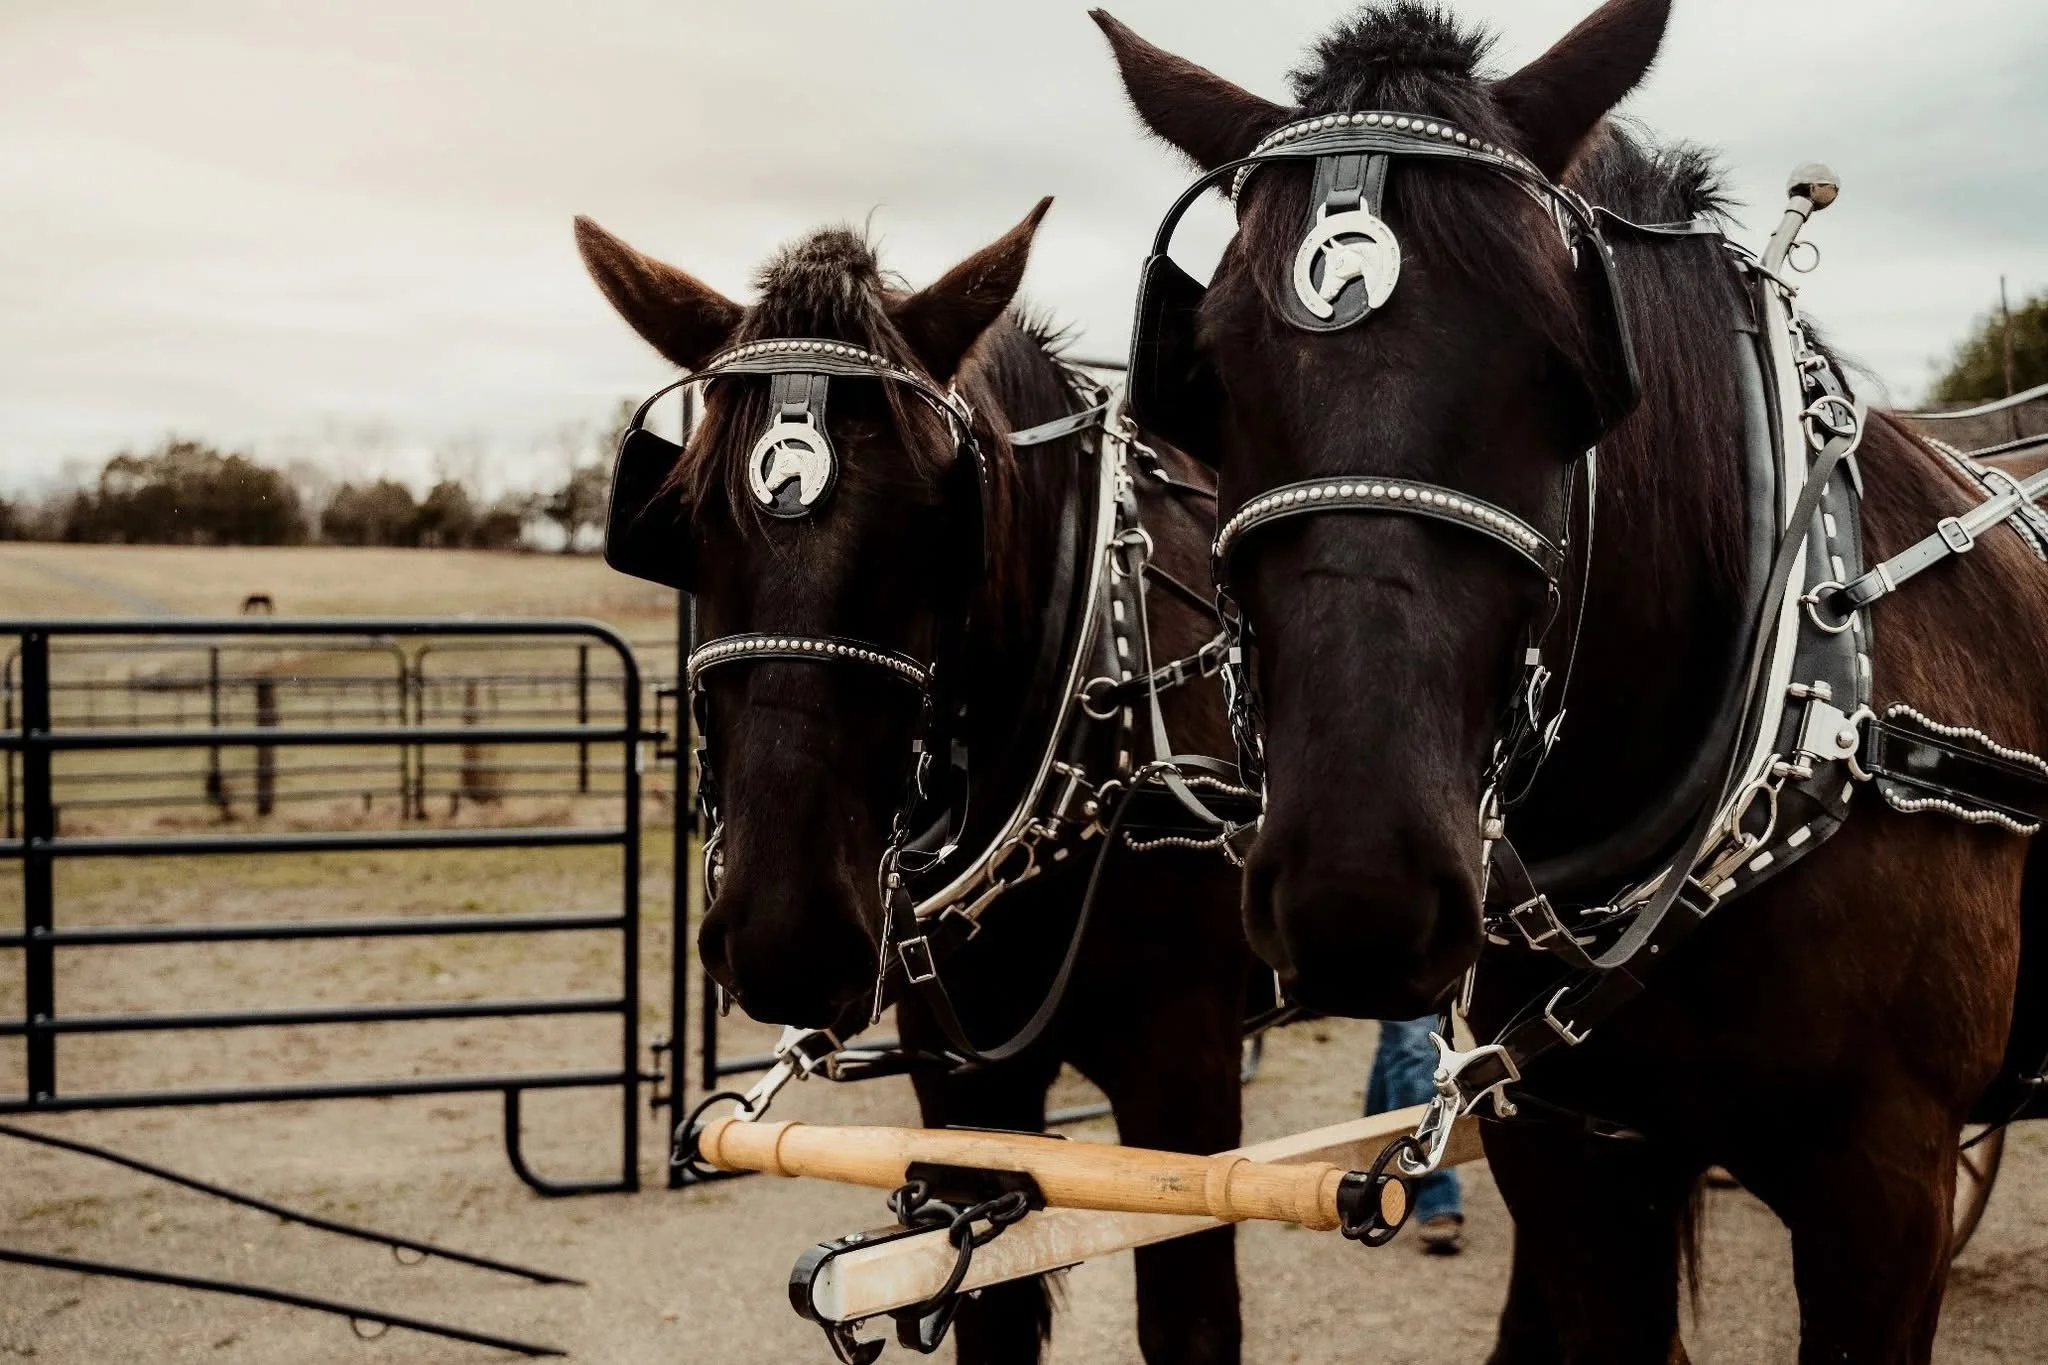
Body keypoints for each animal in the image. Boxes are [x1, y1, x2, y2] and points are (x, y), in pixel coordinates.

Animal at [577, 205, 1253, 1363]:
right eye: (678, 522)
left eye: (942, 521)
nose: (788, 934)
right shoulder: (963, 1090)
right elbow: (987, 1305)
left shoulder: (1187, 1091)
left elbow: (1193, 1322)